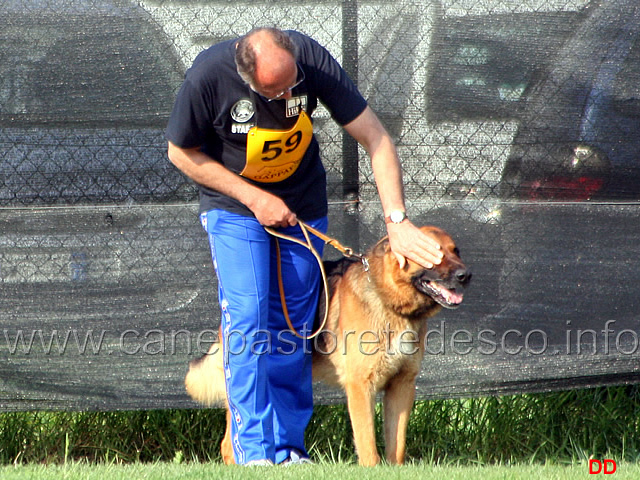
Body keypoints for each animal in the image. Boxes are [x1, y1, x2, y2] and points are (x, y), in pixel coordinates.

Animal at [185, 227, 470, 466]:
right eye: (435, 253)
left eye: (456, 251)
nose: (466, 275)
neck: (388, 300)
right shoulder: (360, 386)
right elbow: (367, 444)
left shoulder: (402, 385)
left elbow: (396, 445)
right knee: (229, 442)